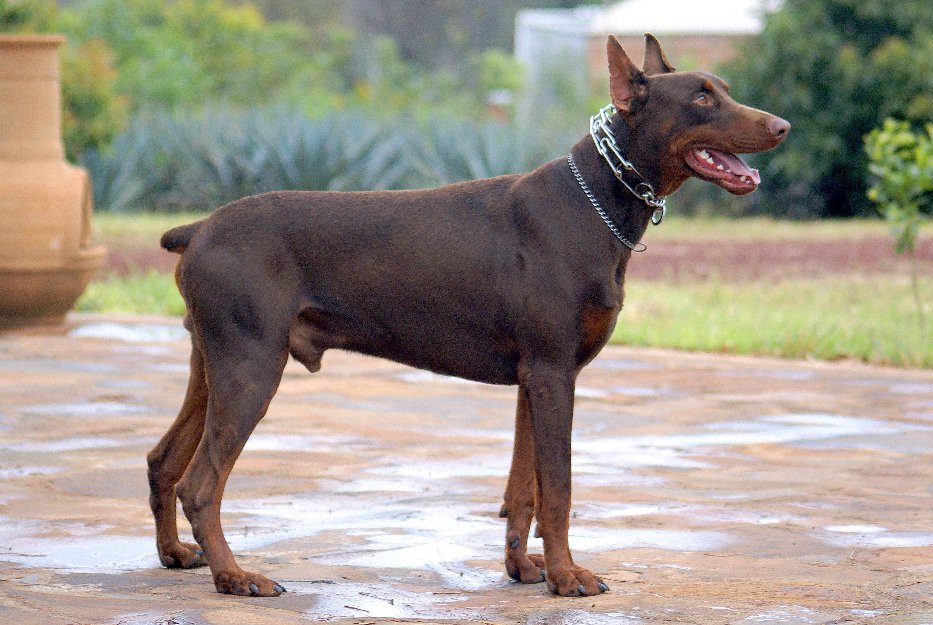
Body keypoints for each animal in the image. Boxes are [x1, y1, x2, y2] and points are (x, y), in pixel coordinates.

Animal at [146, 33, 788, 596]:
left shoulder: (535, 377)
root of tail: (198, 229)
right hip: (252, 364)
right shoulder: (554, 372)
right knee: (201, 484)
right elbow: (559, 488)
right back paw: (235, 577)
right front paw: (568, 578)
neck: (596, 203)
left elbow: (524, 489)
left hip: (212, 360)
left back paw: (177, 554)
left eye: (724, 89)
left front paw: (525, 568)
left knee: (163, 461)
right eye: (701, 97)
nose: (782, 126)